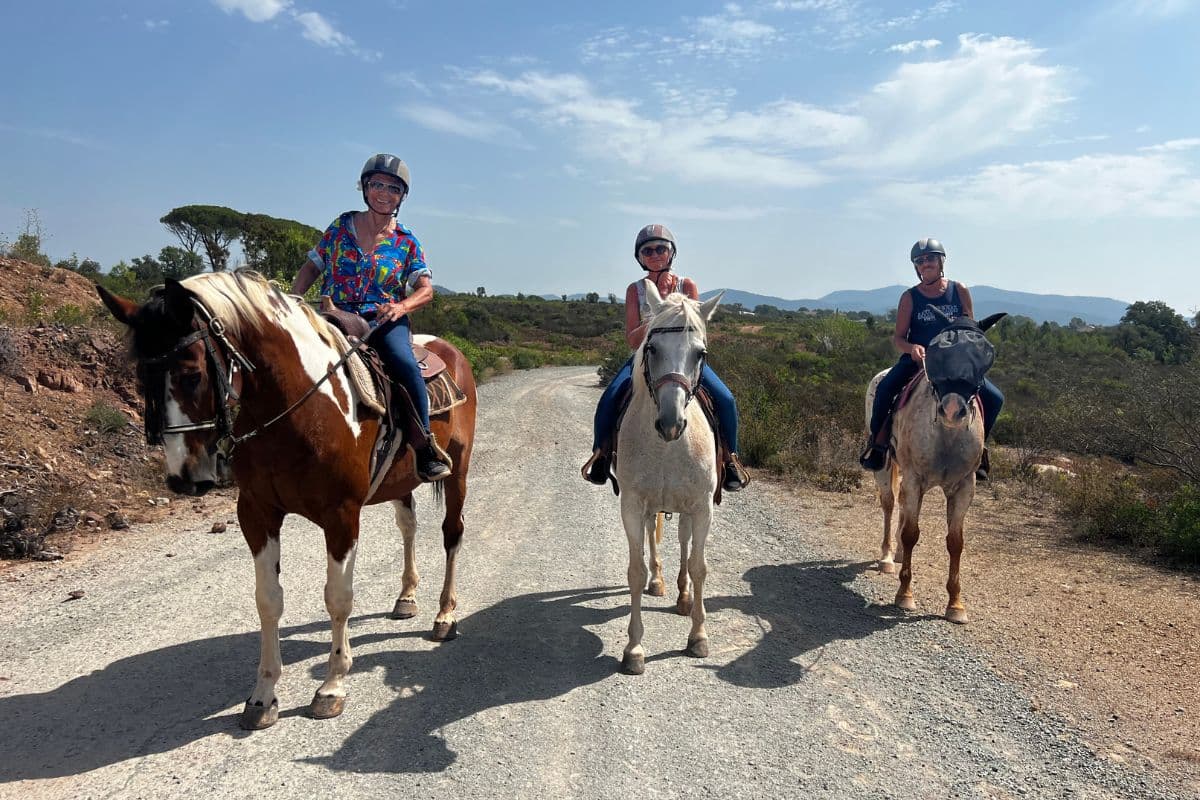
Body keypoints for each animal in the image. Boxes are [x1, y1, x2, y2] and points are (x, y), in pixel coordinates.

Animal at [97, 269, 477, 729]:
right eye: (141, 380)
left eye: (191, 375)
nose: (184, 478)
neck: (300, 408)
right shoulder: (256, 513)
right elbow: (268, 600)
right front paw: (262, 697)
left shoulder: (341, 515)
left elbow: (337, 598)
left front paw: (332, 686)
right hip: (400, 482)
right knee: (408, 527)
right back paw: (406, 598)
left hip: (458, 470)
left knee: (451, 533)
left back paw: (445, 615)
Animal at [613, 282, 723, 674]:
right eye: (651, 348)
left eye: (700, 353)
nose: (671, 423)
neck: (667, 447)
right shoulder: (632, 505)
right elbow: (635, 570)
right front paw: (634, 649)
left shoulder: (703, 507)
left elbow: (699, 566)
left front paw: (699, 637)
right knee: (654, 538)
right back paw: (660, 581)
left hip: (688, 509)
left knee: (685, 544)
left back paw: (683, 596)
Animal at [864, 310, 1005, 624]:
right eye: (935, 350)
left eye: (986, 353)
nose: (952, 411)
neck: (946, 436)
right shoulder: (915, 478)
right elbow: (911, 533)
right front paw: (905, 594)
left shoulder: (964, 487)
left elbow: (955, 542)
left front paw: (956, 604)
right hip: (886, 466)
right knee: (890, 505)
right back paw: (888, 557)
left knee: (903, 507)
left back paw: (899, 554)